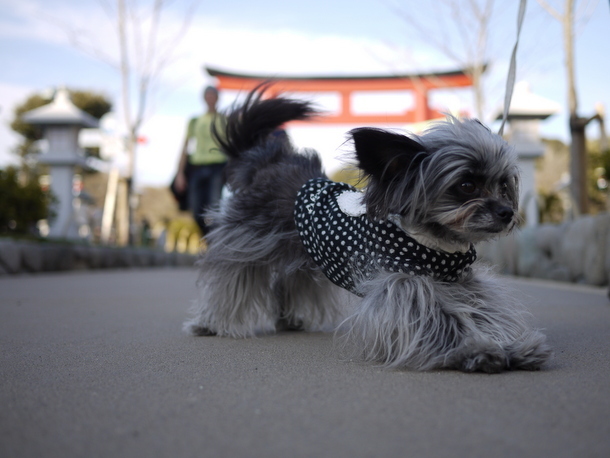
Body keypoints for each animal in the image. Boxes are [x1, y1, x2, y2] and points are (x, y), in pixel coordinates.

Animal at [183, 87, 548, 374]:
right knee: (229, 281)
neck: (436, 246)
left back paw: (291, 318)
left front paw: (512, 348)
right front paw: (475, 351)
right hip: (245, 245)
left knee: (288, 280)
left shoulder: (460, 284)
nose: (508, 213)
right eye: (466, 185)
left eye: (503, 185)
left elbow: (485, 314)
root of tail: (266, 162)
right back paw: (210, 323)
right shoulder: (402, 287)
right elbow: (440, 322)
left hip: (300, 251)